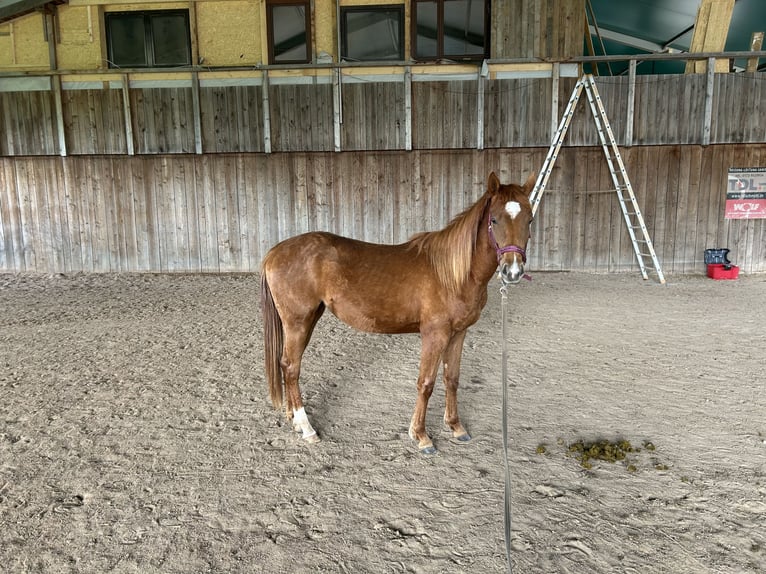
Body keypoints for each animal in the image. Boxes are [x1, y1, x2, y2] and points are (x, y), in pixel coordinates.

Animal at [260, 171, 535, 454]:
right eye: (494, 219)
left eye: (530, 219)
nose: (512, 271)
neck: (452, 274)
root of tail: (274, 252)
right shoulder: (435, 334)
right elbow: (426, 383)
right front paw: (421, 436)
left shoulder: (458, 333)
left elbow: (452, 378)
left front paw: (456, 427)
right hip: (298, 322)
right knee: (291, 367)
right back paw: (307, 429)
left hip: (309, 319)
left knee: (286, 366)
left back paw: (294, 419)